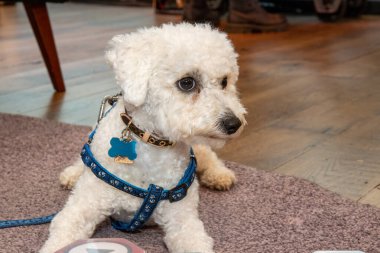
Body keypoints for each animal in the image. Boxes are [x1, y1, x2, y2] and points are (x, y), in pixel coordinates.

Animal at [39, 23, 246, 253]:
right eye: (187, 83)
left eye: (224, 81)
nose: (234, 124)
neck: (151, 145)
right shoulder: (81, 208)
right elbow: (61, 236)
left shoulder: (182, 219)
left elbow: (195, 242)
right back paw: (72, 174)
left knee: (206, 153)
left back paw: (219, 174)